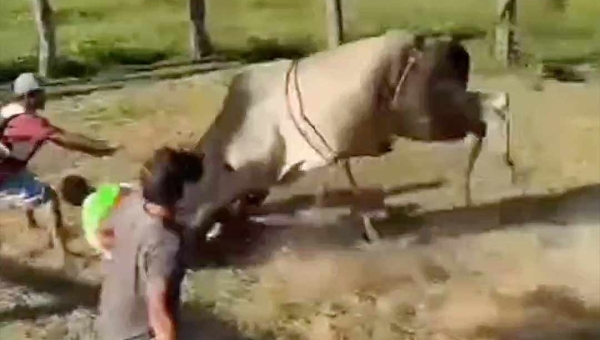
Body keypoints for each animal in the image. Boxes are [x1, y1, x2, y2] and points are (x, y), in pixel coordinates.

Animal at [179, 29, 510, 242]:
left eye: (187, 195)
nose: (191, 231)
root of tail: (447, 46)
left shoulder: (318, 154)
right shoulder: (331, 154)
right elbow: (337, 188)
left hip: (426, 118)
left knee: (492, 111)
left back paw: (497, 170)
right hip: (439, 111)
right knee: (493, 106)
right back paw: (479, 183)